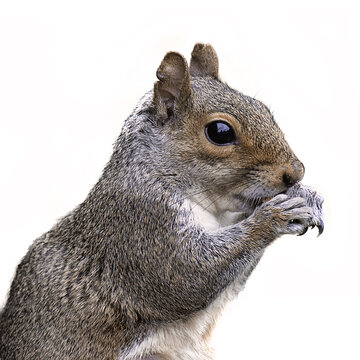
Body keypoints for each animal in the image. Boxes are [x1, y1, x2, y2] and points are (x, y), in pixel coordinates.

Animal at [0, 44, 324, 360]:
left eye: (263, 108)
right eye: (220, 132)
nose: (295, 172)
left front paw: (305, 195)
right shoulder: (140, 226)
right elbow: (187, 275)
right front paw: (275, 216)